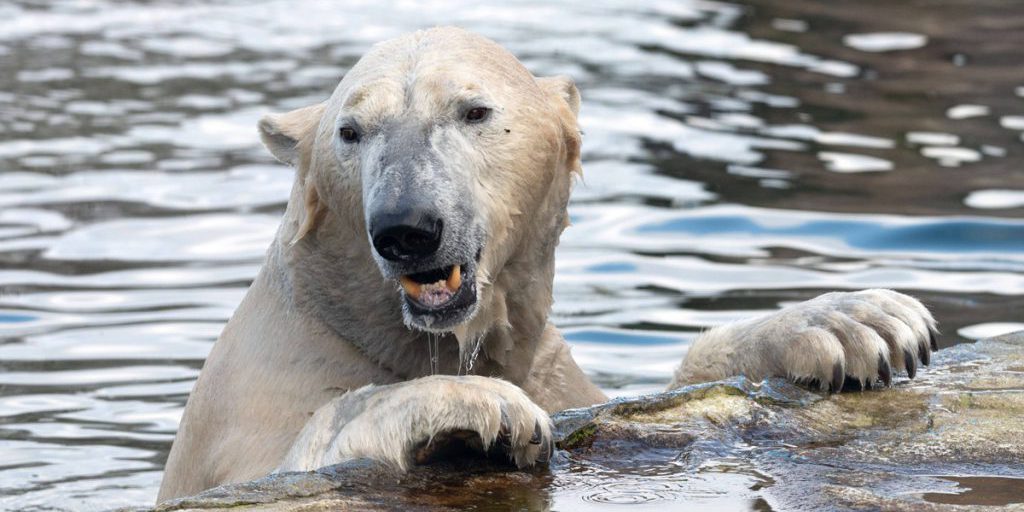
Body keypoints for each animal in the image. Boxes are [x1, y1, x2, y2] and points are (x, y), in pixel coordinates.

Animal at [157, 27, 937, 502]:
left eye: (474, 111)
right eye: (350, 131)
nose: (407, 229)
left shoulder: (557, 371)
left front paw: (859, 323)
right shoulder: (252, 404)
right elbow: (294, 451)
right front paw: (479, 405)